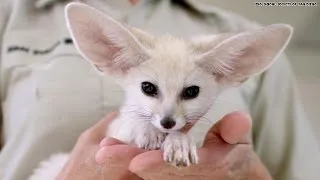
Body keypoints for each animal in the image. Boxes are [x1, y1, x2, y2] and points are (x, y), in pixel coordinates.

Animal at [28, 2, 292, 179]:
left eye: (191, 92)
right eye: (148, 88)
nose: (167, 123)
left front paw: (179, 143)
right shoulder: (114, 132)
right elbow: (131, 121)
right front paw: (148, 130)